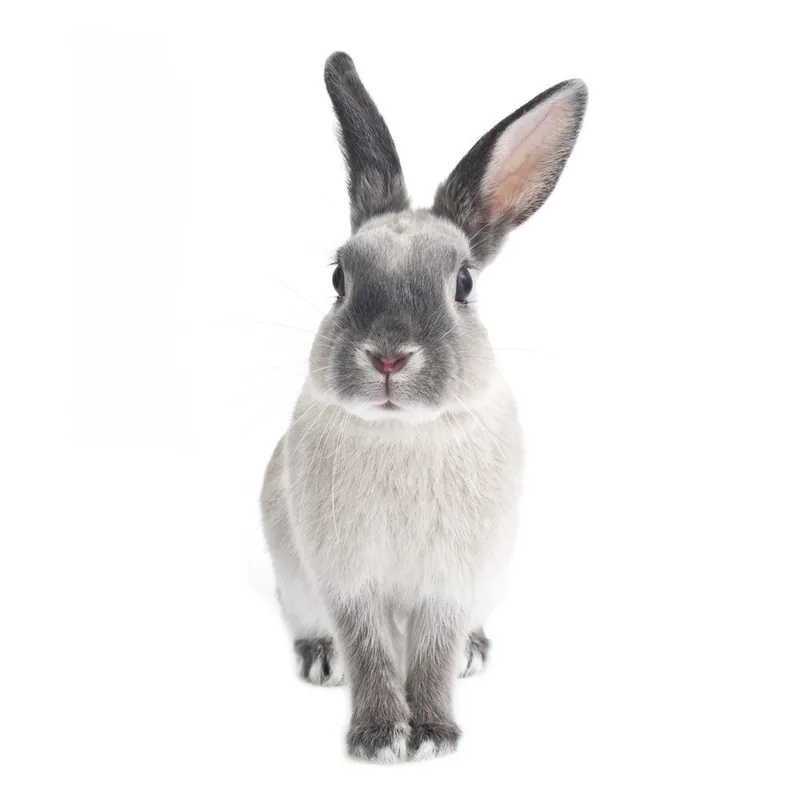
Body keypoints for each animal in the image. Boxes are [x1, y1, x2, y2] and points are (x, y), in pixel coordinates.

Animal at [261, 51, 587, 763]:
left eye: (462, 283)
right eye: (340, 277)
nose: (388, 357)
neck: (402, 433)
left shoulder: (451, 581)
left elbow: (433, 655)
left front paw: (434, 734)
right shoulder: (347, 579)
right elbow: (371, 653)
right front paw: (381, 738)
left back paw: (474, 652)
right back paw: (321, 659)